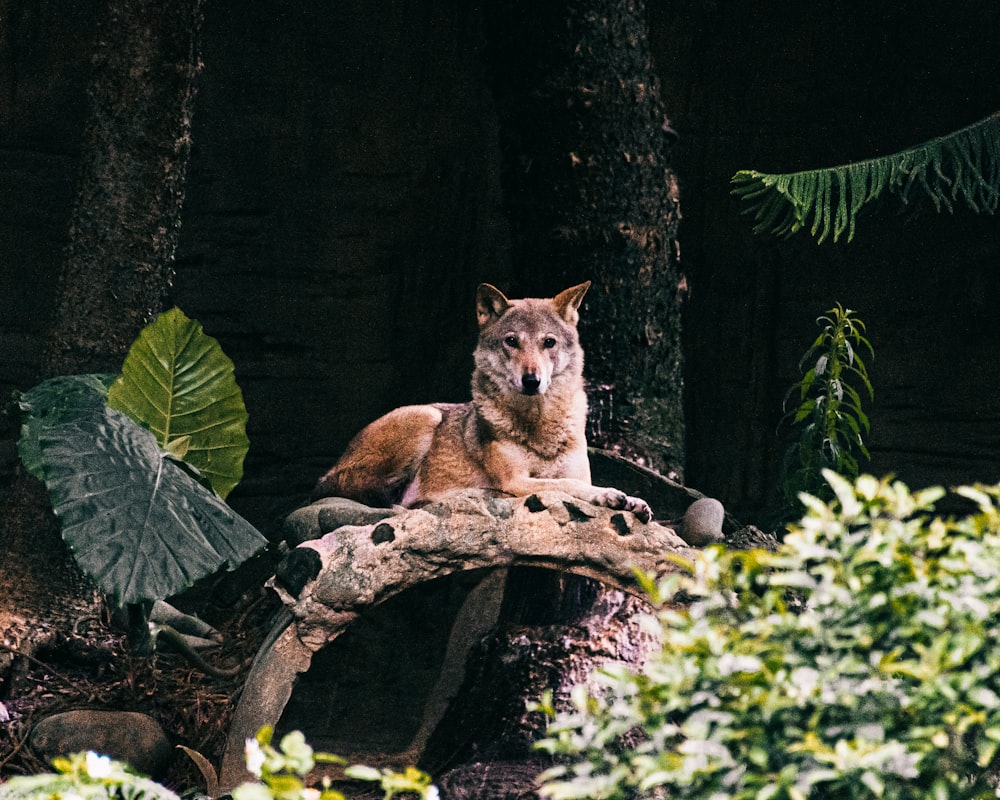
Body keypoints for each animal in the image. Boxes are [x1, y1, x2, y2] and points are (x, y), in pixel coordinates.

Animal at [316, 284, 652, 520]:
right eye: (512, 341)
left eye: (549, 342)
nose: (531, 380)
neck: (541, 426)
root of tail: (324, 475)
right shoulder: (516, 481)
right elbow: (569, 487)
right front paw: (610, 495)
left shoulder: (574, 470)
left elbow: (579, 483)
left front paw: (634, 501)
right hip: (425, 417)